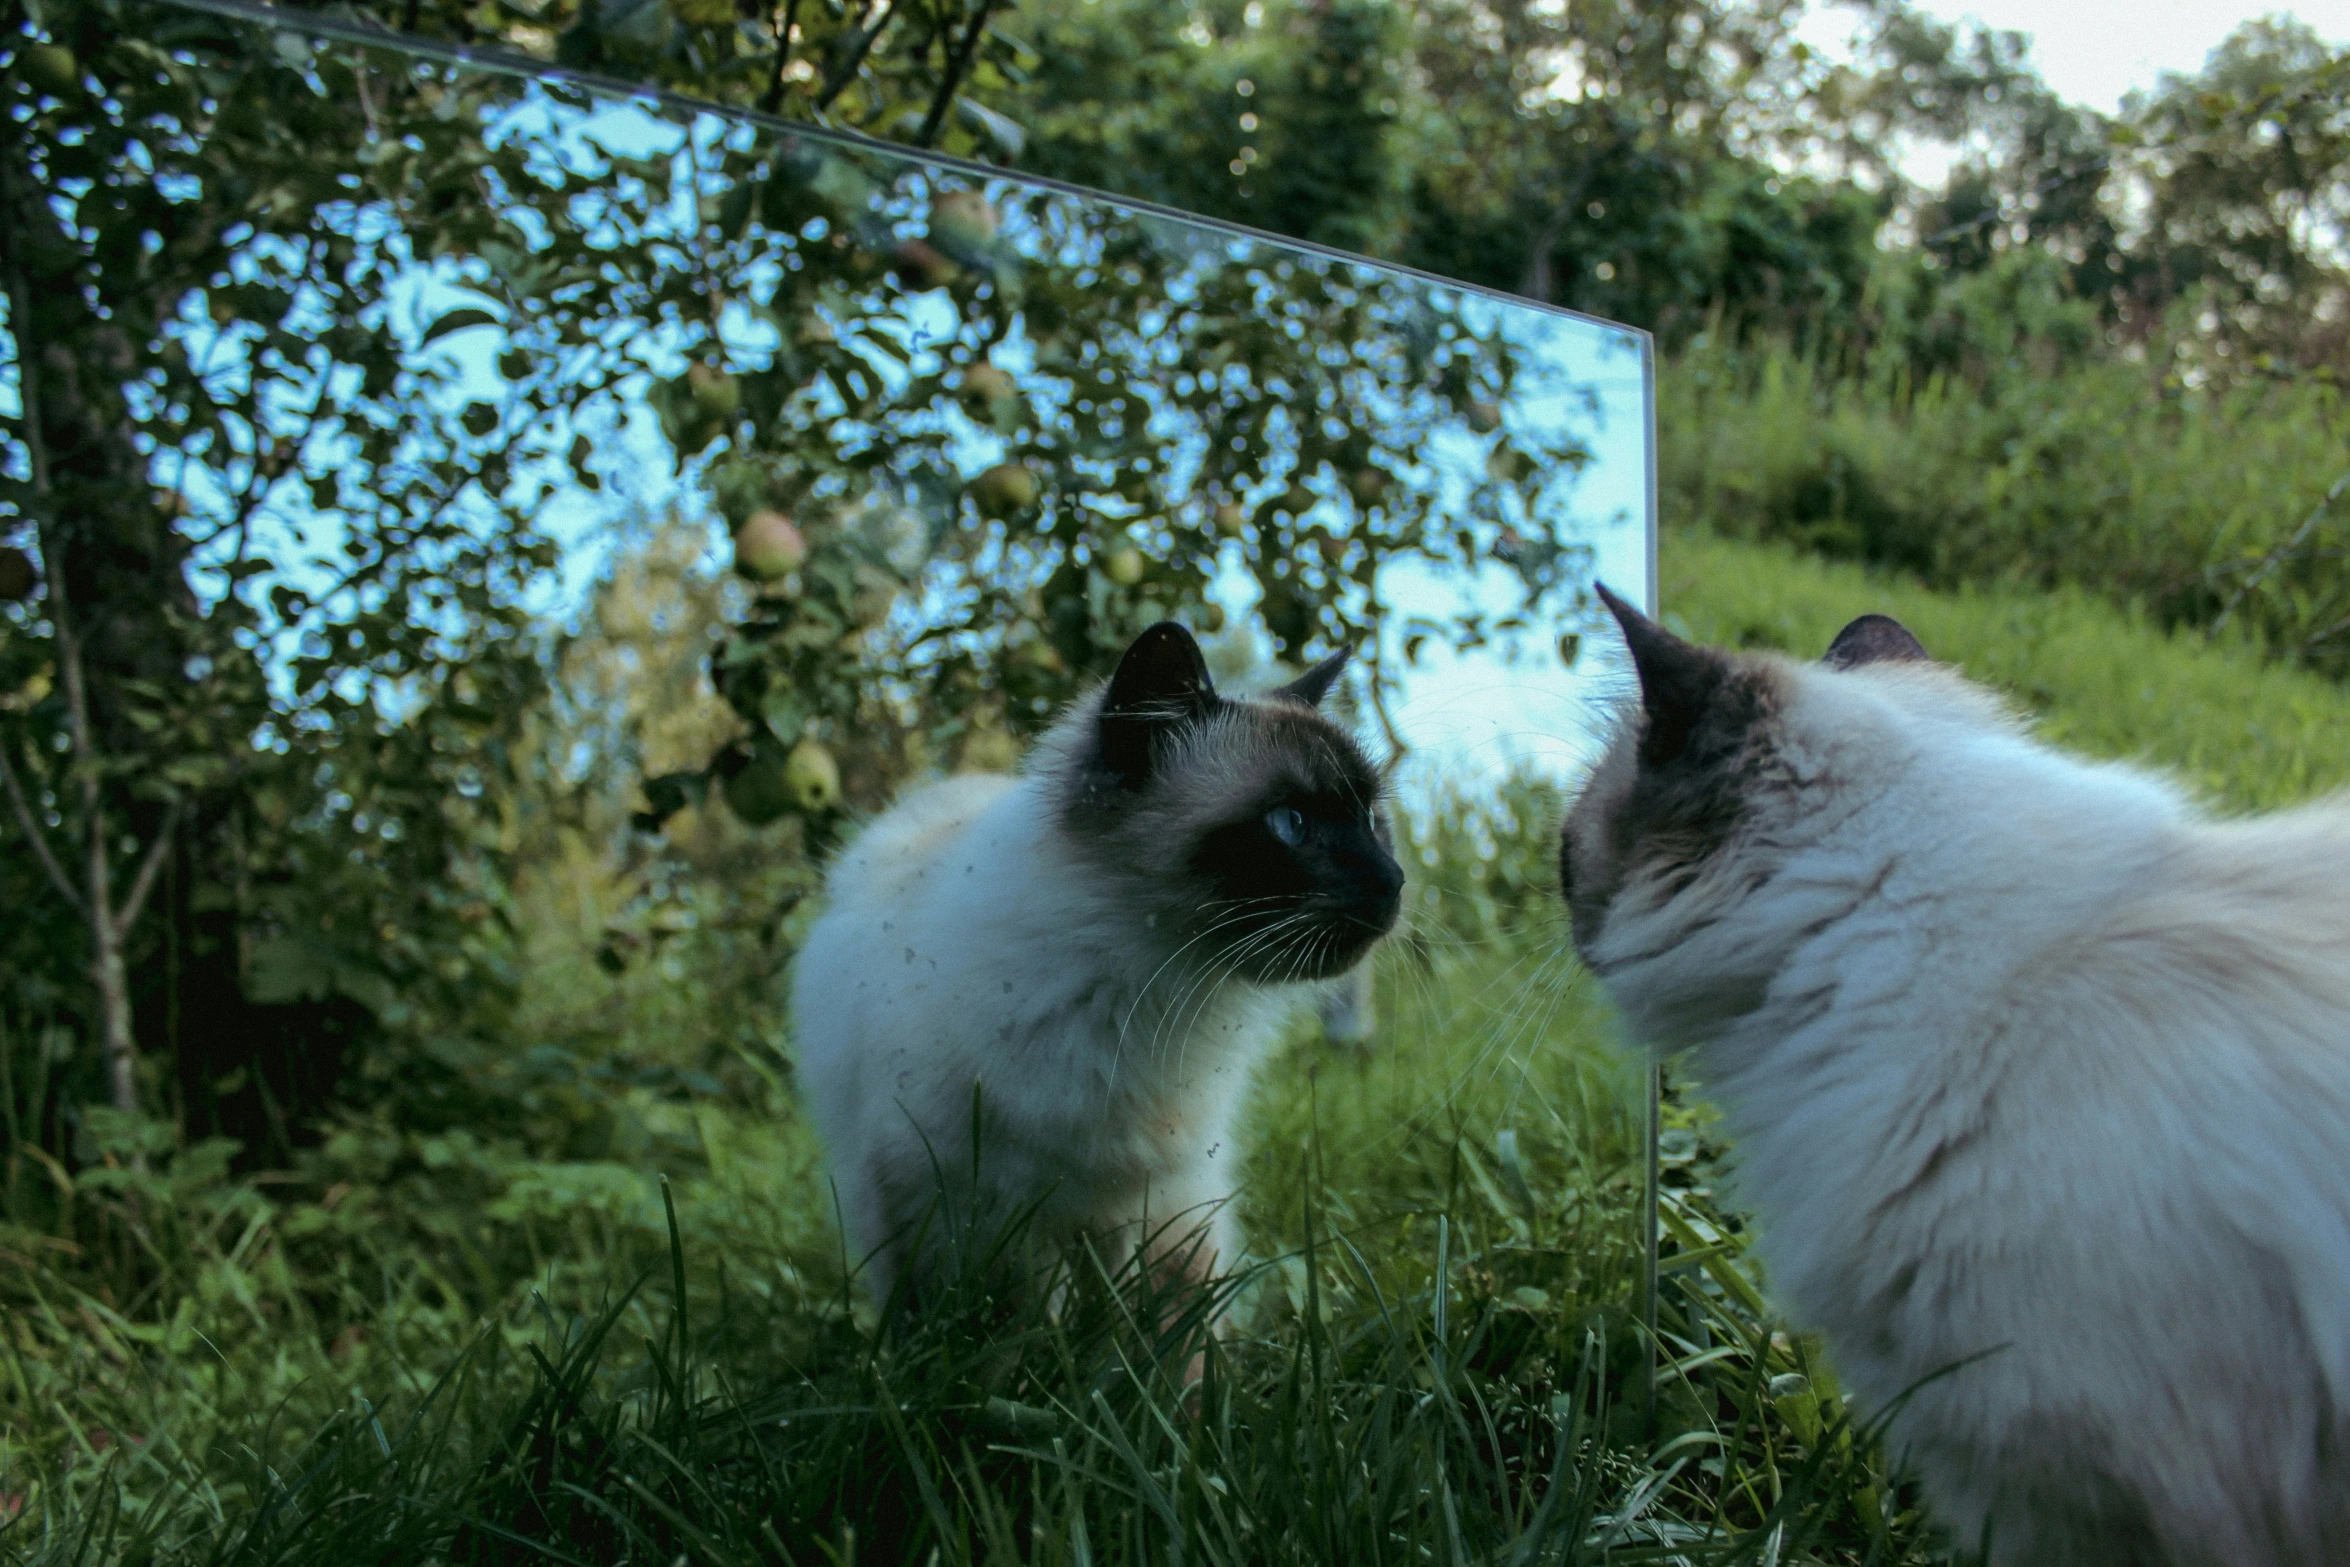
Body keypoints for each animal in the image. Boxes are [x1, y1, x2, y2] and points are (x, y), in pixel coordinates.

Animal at [798, 624, 1400, 1315]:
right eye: (1290, 825)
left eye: (1371, 820)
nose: (1394, 883)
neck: (1150, 992)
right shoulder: (963, 1209)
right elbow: (1006, 1330)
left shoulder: (1170, 1199)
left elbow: (1181, 1330)